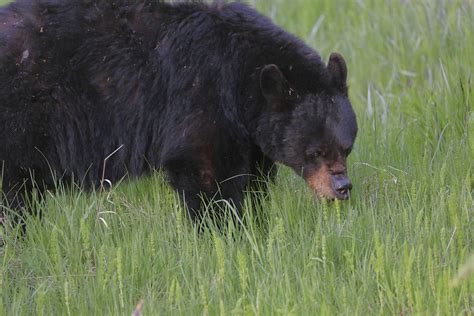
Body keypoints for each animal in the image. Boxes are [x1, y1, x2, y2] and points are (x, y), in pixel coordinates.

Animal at [0, 0, 356, 222]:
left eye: (347, 147)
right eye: (315, 151)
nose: (342, 188)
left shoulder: (250, 133)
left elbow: (253, 176)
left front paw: (255, 219)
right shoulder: (201, 93)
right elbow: (203, 168)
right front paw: (220, 228)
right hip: (22, 117)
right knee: (14, 188)